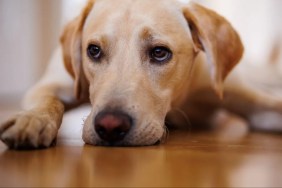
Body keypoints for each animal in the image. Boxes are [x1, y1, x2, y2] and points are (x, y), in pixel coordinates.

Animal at [0, 0, 282, 150]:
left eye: (159, 52)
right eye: (93, 50)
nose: (110, 126)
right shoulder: (52, 84)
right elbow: (47, 101)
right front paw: (32, 120)